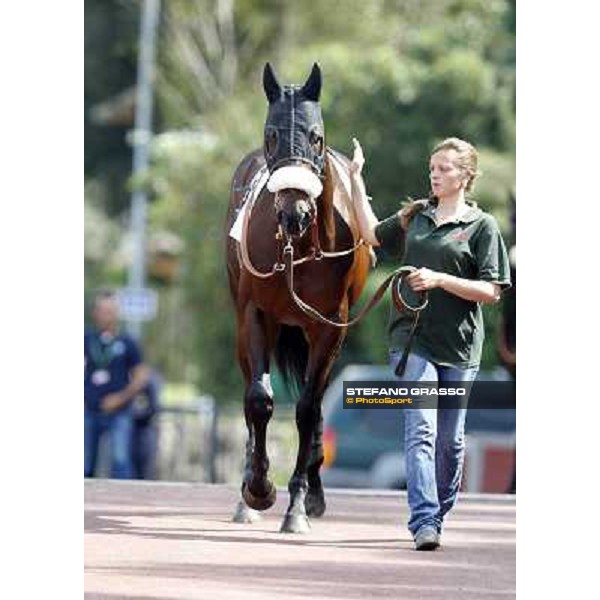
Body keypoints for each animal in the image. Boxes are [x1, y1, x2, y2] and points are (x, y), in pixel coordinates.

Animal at [225, 63, 370, 532]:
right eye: (271, 135)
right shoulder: (255, 313)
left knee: (316, 402)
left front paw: (298, 505)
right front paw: (258, 489)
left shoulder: (329, 326)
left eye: (316, 137)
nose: (295, 212)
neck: (300, 248)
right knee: (251, 391)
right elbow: (259, 399)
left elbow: (308, 408)